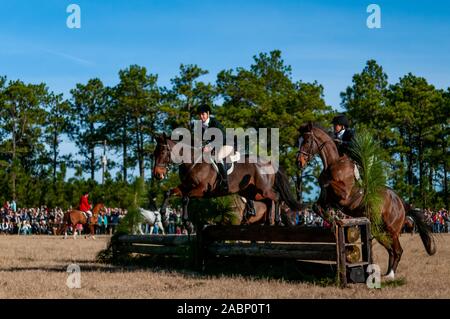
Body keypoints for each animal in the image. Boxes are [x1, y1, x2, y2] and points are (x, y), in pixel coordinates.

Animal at [153, 132, 300, 230]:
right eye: (154, 153)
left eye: (162, 152)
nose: (157, 175)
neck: (192, 162)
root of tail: (269, 163)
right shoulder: (185, 186)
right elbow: (168, 192)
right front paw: (164, 220)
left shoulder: (201, 189)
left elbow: (185, 198)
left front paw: (187, 224)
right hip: (253, 192)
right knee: (269, 201)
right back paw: (270, 222)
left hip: (264, 189)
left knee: (277, 197)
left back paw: (278, 220)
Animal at [296, 124, 436, 282]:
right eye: (298, 141)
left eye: (307, 141)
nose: (298, 162)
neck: (334, 164)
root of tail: (401, 202)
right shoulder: (326, 201)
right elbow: (317, 206)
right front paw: (334, 220)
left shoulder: (344, 195)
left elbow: (328, 183)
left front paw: (334, 217)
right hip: (379, 230)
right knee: (391, 251)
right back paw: (384, 274)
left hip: (392, 230)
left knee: (398, 250)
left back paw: (391, 275)